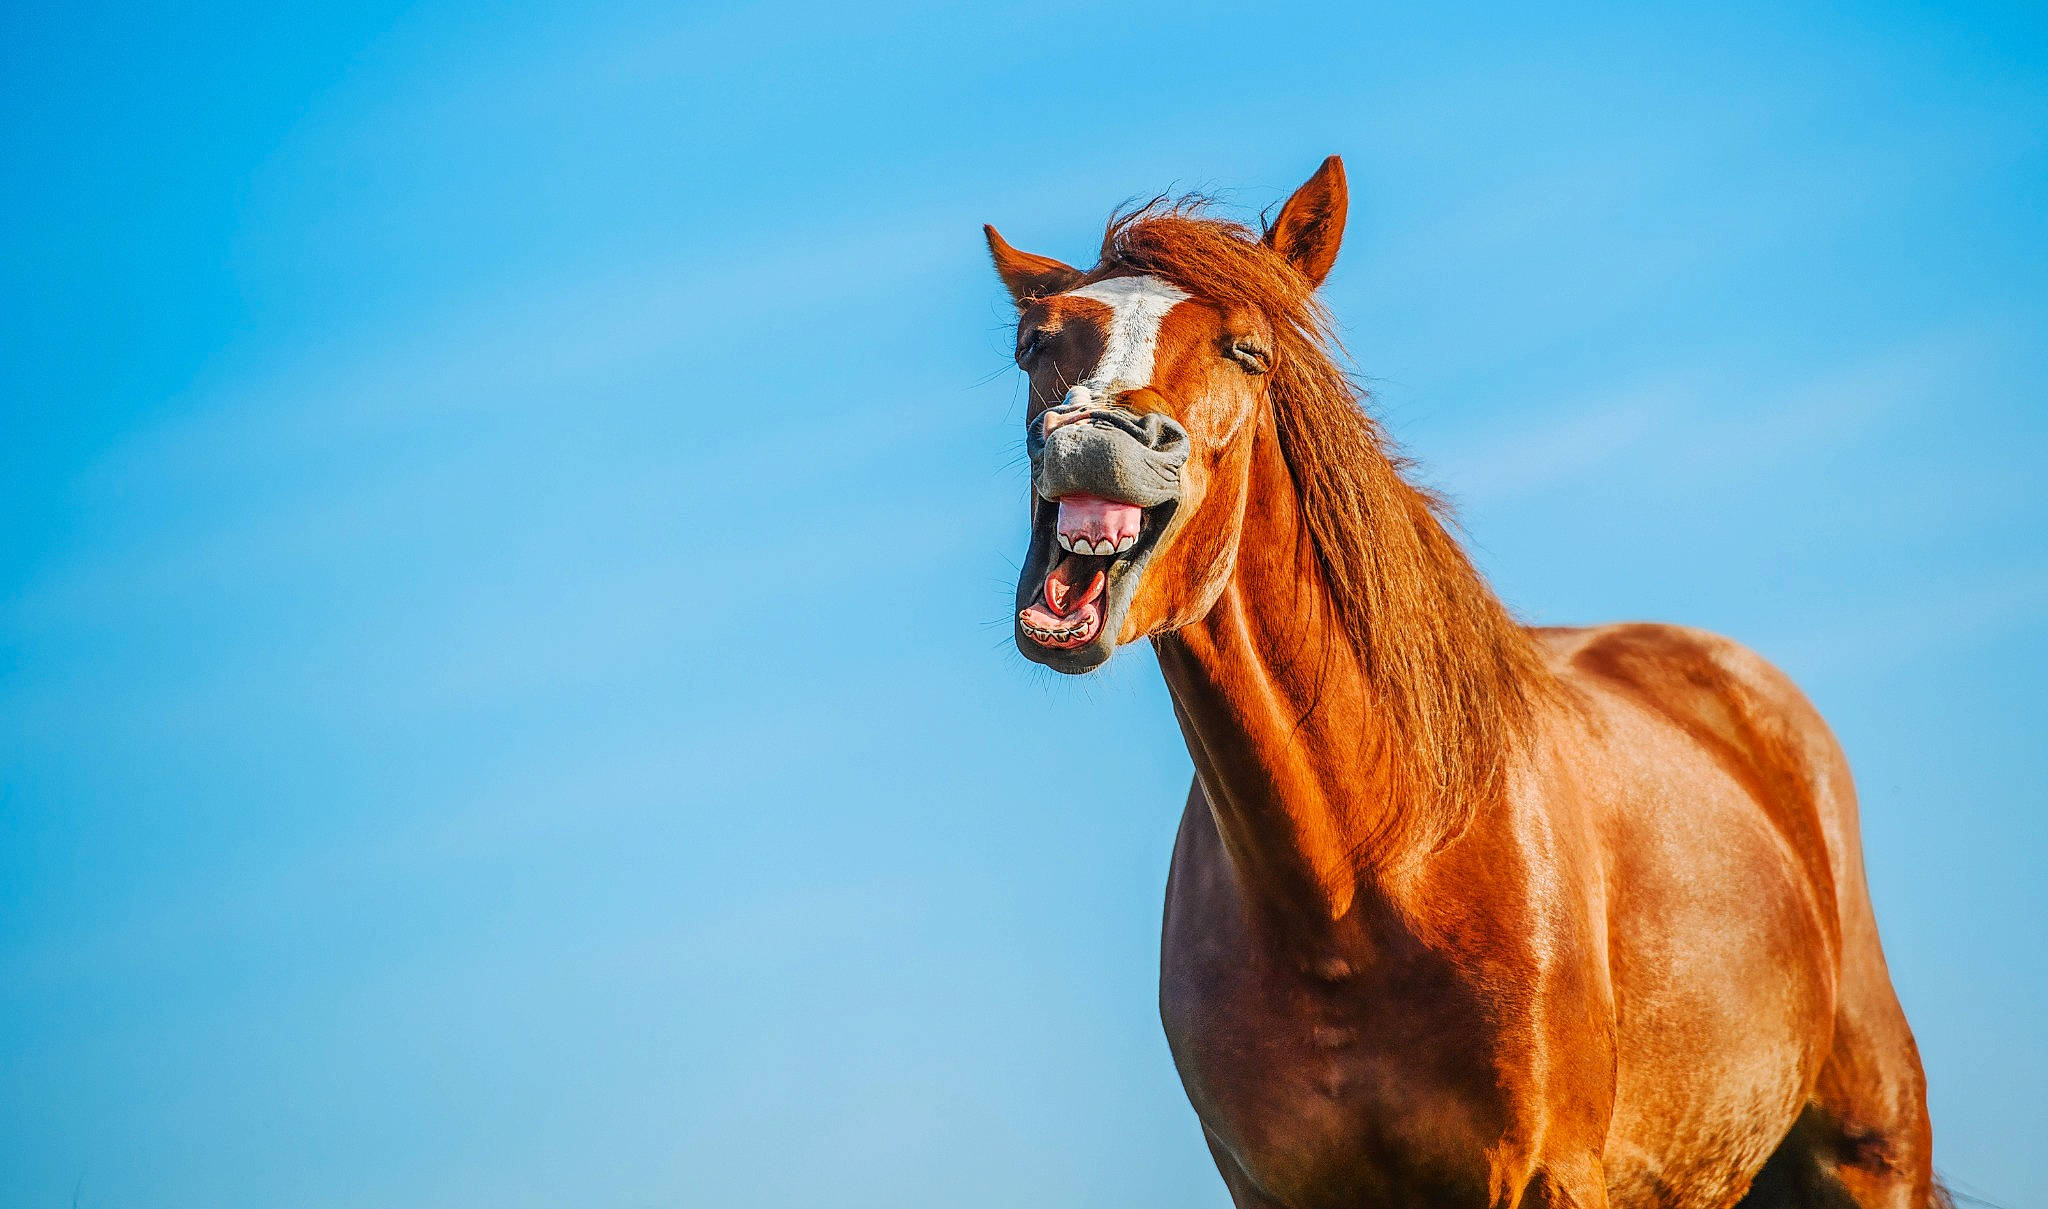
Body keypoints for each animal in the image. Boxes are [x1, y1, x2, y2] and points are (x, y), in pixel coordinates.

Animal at [984, 156, 1936, 1209]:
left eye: (1247, 351)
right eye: (1035, 343)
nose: (1095, 436)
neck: (1354, 881)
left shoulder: (1547, 1173)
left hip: (1870, 1156)